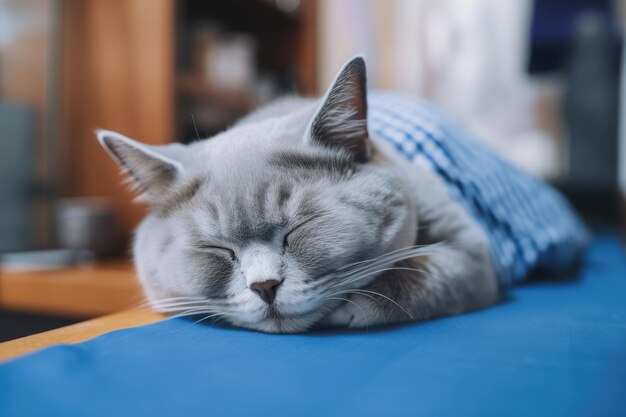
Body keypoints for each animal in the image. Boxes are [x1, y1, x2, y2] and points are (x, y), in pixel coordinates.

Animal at [97, 57, 498, 334]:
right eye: (216, 249)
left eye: (298, 230)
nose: (264, 286)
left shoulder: (473, 258)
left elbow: (417, 272)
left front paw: (351, 308)